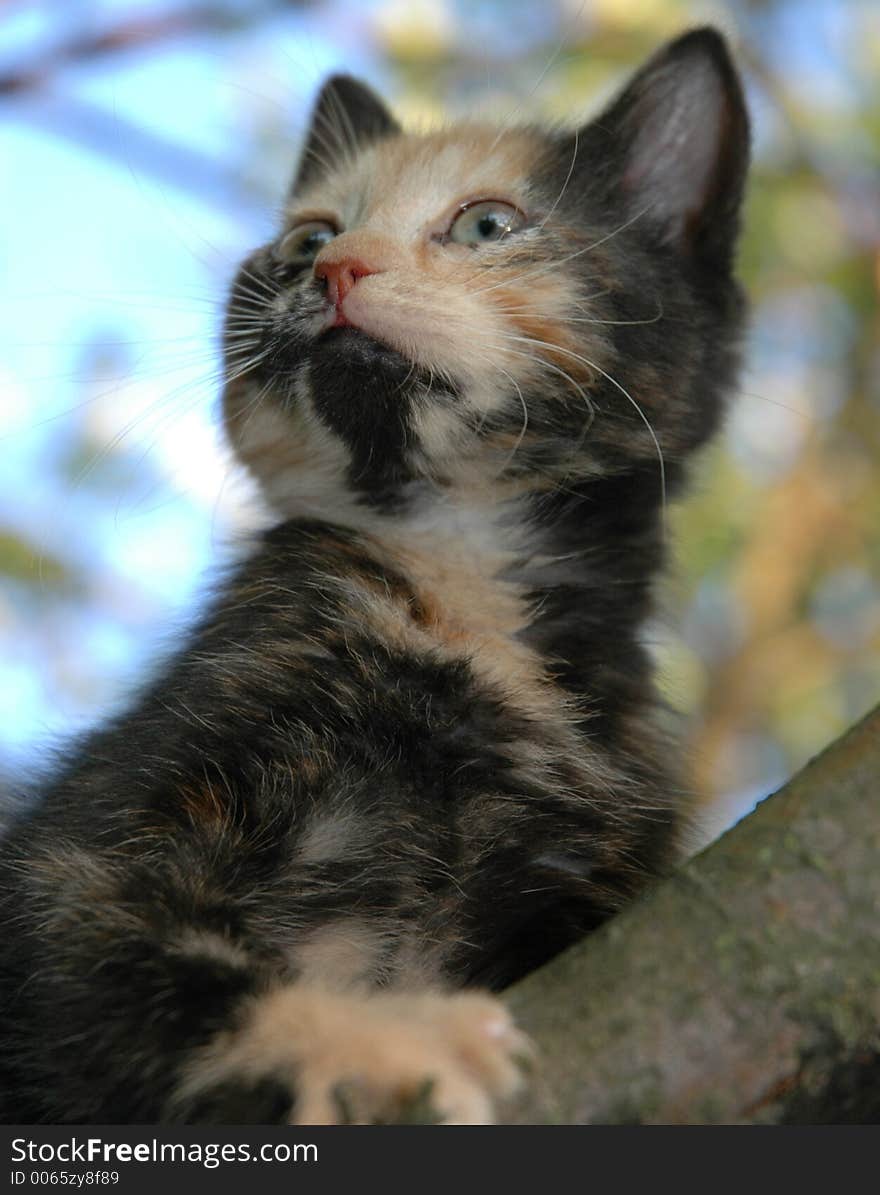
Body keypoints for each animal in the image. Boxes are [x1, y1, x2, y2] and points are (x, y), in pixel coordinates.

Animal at [0, 28, 750, 1123]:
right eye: (307, 237)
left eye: (488, 224)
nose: (335, 269)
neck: (462, 577)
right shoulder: (66, 863)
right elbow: (165, 974)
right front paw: (386, 1039)